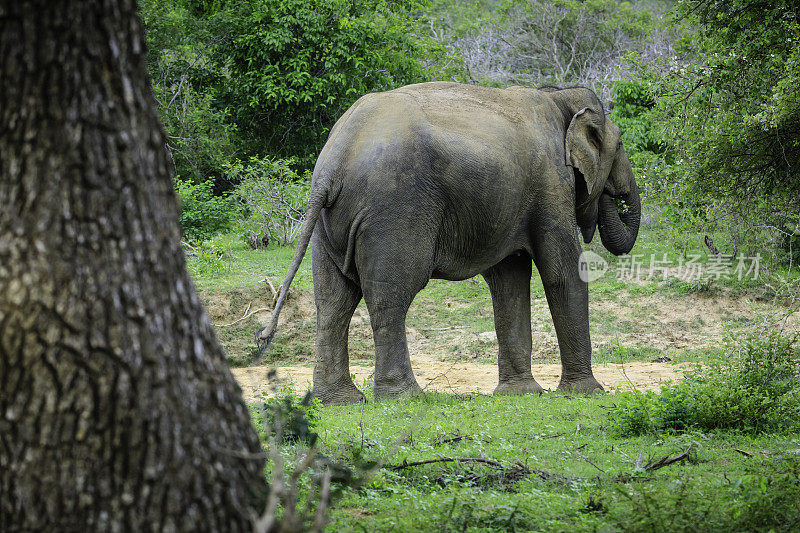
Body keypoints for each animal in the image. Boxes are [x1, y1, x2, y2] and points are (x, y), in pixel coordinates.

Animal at [260, 81, 640, 404]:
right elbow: (562, 273)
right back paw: (405, 397)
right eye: (620, 145)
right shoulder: (552, 180)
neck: (559, 97)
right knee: (389, 297)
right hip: (394, 210)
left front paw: (520, 394)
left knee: (333, 301)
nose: (616, 196)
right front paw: (587, 392)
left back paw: (340, 401)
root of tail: (332, 163)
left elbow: (509, 280)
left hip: (329, 227)